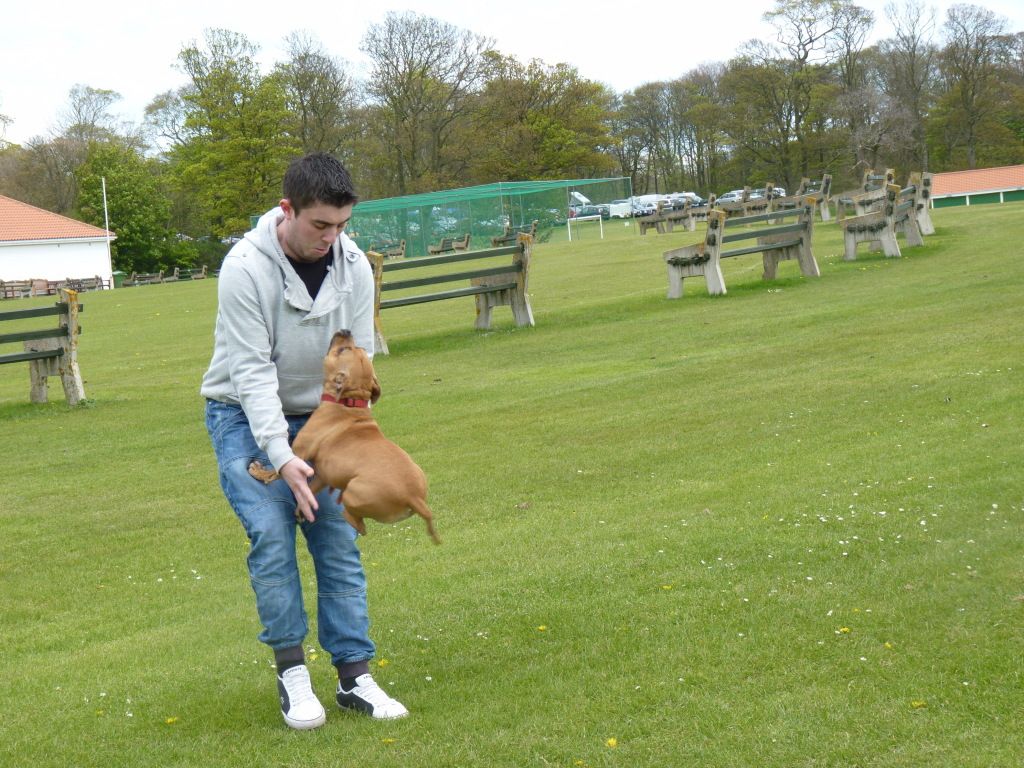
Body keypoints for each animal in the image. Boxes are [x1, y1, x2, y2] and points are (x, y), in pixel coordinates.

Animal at [250, 333, 440, 544]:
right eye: (356, 348)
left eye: (342, 350)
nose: (345, 331)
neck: (348, 403)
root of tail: (415, 499)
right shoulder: (321, 475)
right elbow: (310, 490)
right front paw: (301, 509)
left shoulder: (298, 454)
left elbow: (276, 472)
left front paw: (258, 472)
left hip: (354, 492)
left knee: (358, 523)